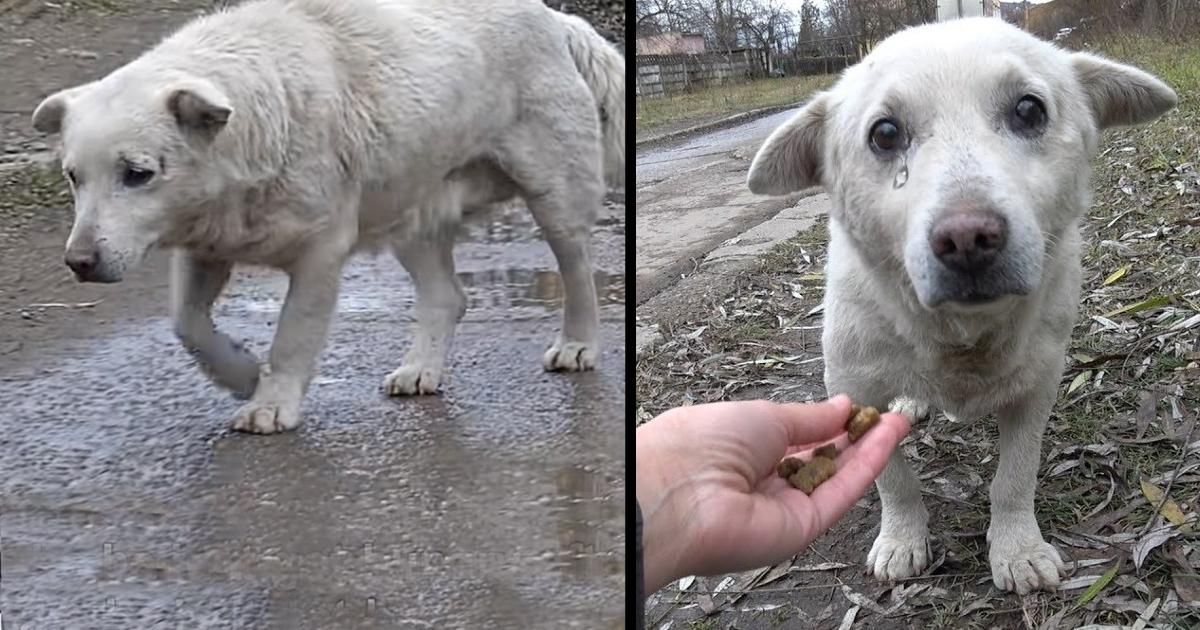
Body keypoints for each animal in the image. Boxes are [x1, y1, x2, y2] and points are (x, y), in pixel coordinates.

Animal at [32, 0, 624, 432]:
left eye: (137, 173)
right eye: (72, 177)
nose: (78, 262)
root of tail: (556, 20)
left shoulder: (319, 253)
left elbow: (293, 334)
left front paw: (271, 403)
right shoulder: (203, 246)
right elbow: (186, 323)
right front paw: (241, 373)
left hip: (553, 192)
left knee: (577, 271)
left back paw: (577, 344)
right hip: (411, 211)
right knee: (448, 297)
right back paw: (421, 369)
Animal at [744, 17, 1176, 592]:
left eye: (1029, 110)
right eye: (885, 133)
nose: (968, 238)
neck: (959, 337)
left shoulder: (1037, 386)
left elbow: (1015, 476)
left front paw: (1017, 548)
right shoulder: (854, 387)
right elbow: (893, 479)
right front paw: (902, 539)